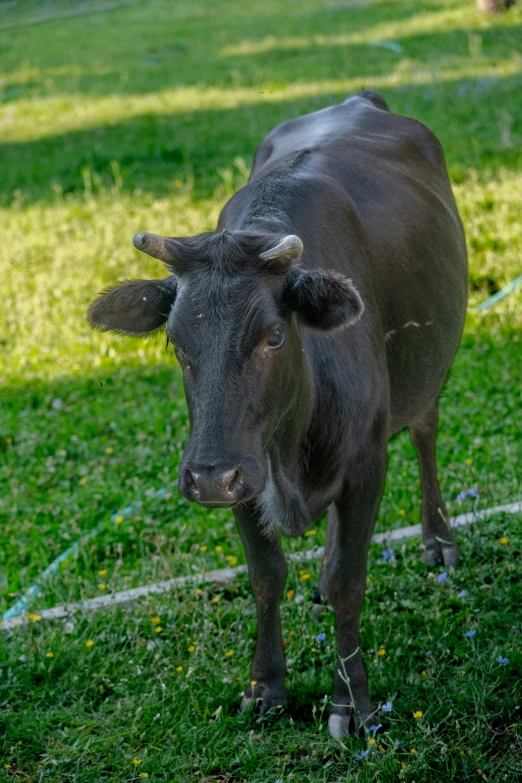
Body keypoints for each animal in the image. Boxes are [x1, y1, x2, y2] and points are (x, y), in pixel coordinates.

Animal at [87, 92, 466, 740]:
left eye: (272, 337)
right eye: (176, 343)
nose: (208, 478)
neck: (292, 450)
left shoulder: (366, 463)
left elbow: (350, 582)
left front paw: (351, 703)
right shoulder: (246, 471)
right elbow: (266, 576)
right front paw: (266, 687)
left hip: (427, 373)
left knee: (425, 433)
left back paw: (437, 538)